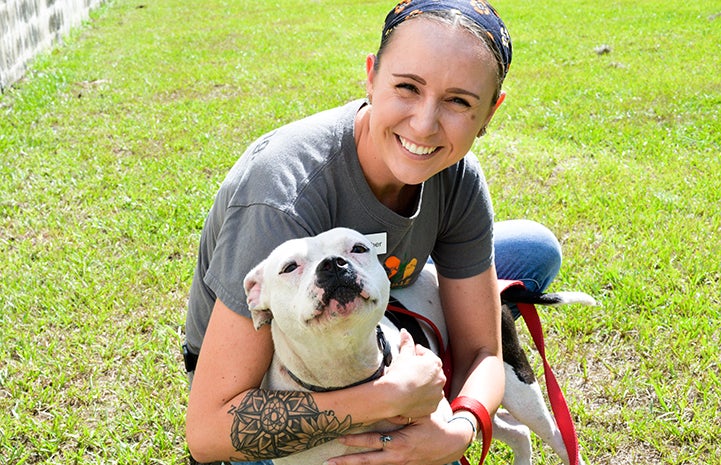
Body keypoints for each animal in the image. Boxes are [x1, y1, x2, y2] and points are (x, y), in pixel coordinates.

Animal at [243, 227, 592, 462]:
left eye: (358, 248)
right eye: (289, 267)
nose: (333, 263)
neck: (348, 374)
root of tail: (500, 286)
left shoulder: (434, 444)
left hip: (515, 383)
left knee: (557, 436)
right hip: (465, 389)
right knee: (515, 431)